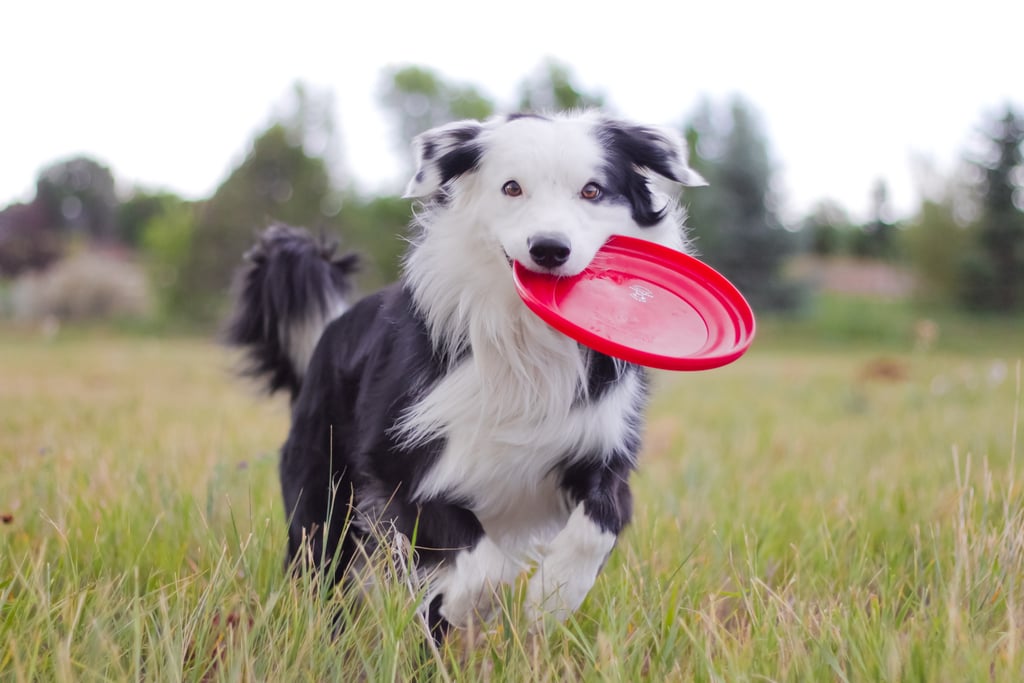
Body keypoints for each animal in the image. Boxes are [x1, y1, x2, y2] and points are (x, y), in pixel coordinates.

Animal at [226, 109, 704, 638]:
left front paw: (551, 599)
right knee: (320, 568)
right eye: (512, 187)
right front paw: (469, 603)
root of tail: (332, 329)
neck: (525, 340)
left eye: (592, 190)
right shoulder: (396, 463)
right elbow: (481, 564)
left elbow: (599, 523)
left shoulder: (603, 449)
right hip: (323, 492)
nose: (549, 249)